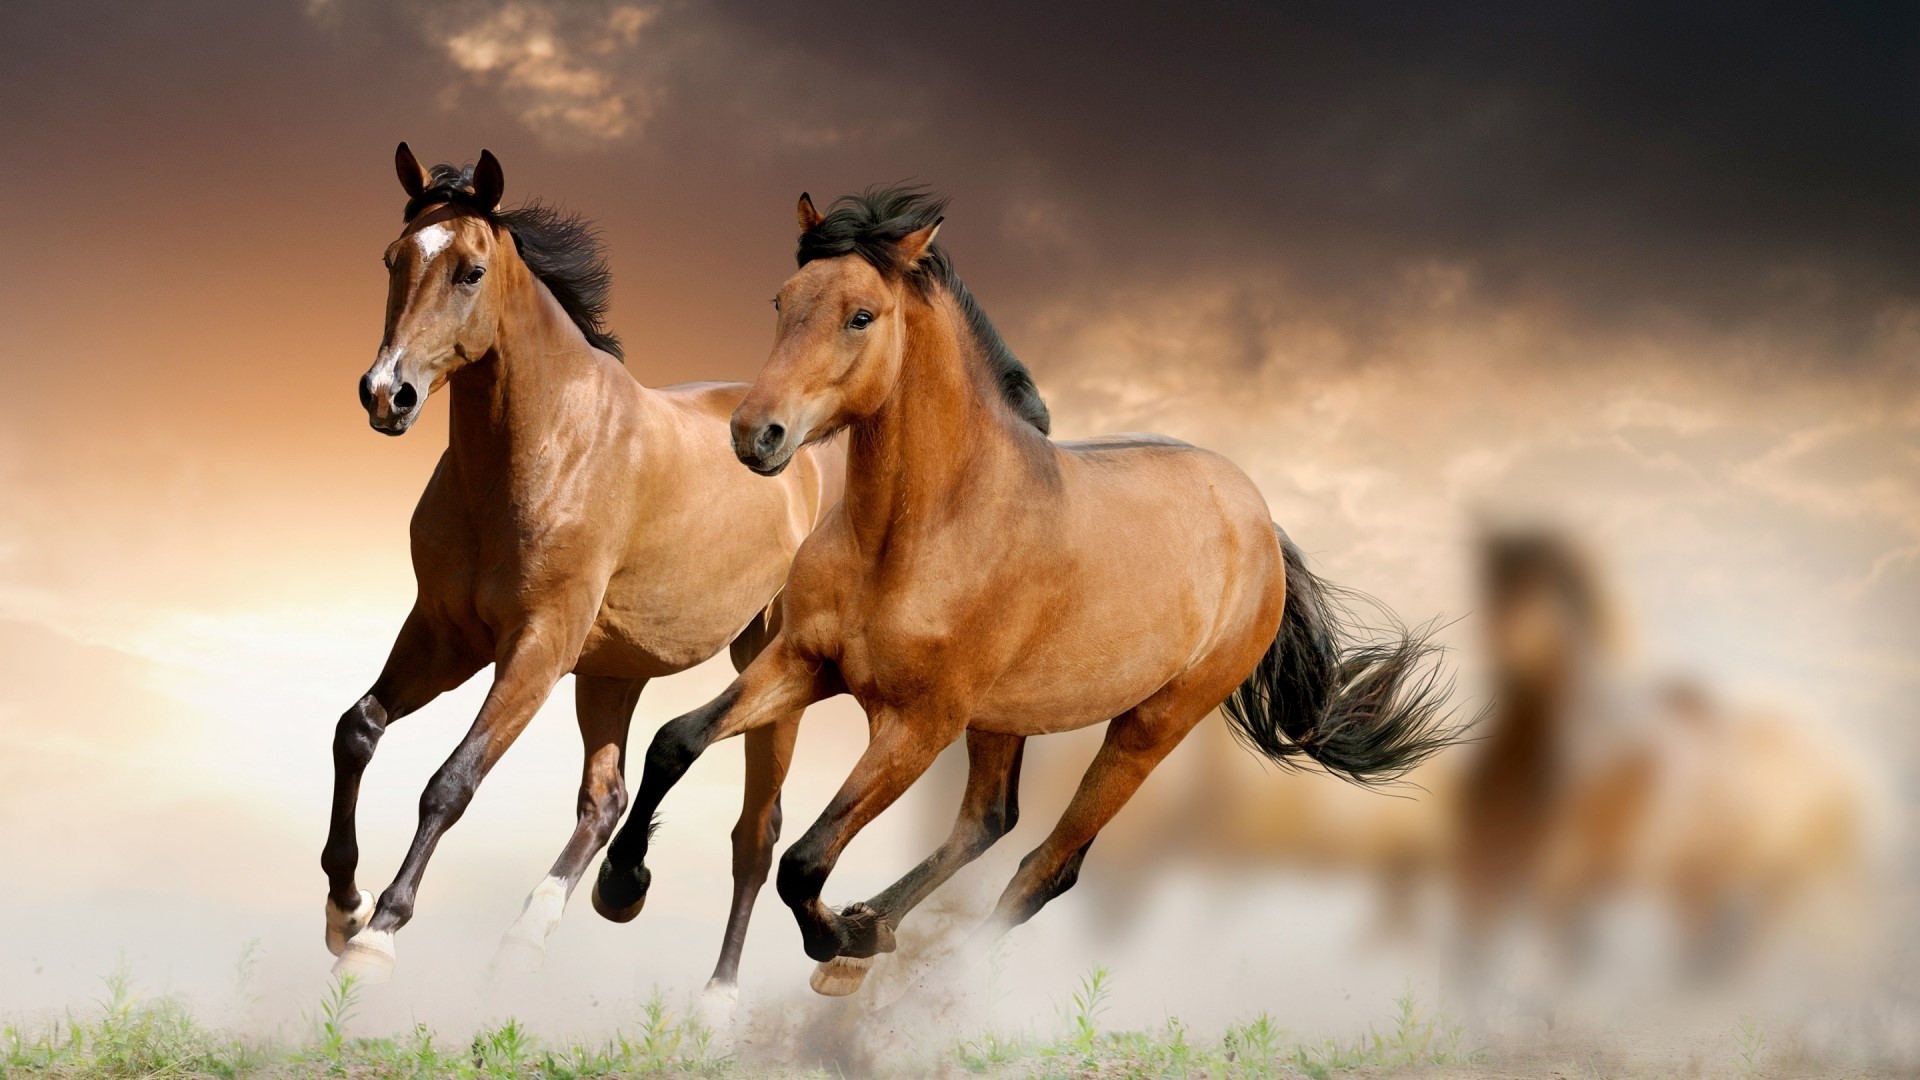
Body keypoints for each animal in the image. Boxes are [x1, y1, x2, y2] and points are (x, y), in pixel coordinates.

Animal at [321, 145, 840, 1005]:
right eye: (394, 259)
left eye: (469, 271)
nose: (385, 394)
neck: (542, 448)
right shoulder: (445, 634)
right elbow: (357, 729)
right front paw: (343, 906)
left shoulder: (536, 646)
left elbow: (451, 781)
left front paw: (378, 937)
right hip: (611, 671)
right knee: (607, 801)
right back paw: (537, 932)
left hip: (768, 668)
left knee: (755, 836)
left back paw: (717, 998)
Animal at [591, 185, 1467, 997]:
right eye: (782, 301)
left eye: (861, 316)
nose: (755, 435)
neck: (917, 531)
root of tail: (1259, 523)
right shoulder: (806, 662)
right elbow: (676, 741)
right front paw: (621, 888)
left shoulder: (918, 725)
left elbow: (805, 861)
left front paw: (837, 937)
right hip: (1003, 718)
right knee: (989, 821)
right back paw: (874, 930)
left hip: (1148, 726)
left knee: (1047, 867)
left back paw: (904, 975)